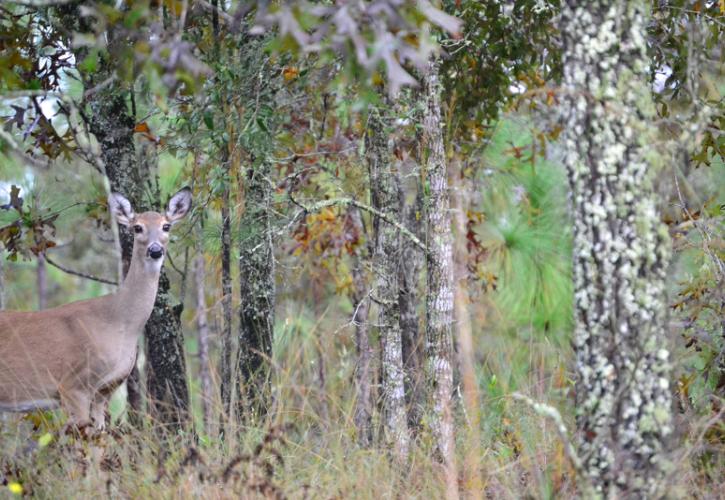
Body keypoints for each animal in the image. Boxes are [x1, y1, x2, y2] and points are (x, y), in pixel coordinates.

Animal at [0, 188, 191, 434]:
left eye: (166, 226)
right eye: (137, 227)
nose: (155, 250)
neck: (118, 321)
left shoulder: (105, 390)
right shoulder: (73, 384)